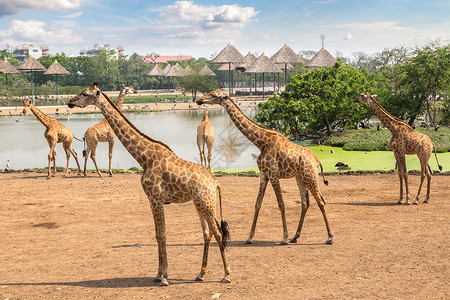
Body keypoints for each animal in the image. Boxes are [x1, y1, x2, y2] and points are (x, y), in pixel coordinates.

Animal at [68, 82, 230, 286]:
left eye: (85, 93)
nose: (70, 102)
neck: (144, 158)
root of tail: (215, 182)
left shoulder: (156, 198)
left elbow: (163, 235)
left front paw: (165, 277)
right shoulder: (151, 200)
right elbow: (157, 235)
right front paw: (158, 275)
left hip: (206, 203)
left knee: (218, 233)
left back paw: (226, 274)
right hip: (200, 203)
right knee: (207, 233)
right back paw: (200, 274)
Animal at [197, 87, 334, 246]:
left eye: (214, 95)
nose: (199, 100)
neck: (260, 141)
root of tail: (316, 159)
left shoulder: (273, 174)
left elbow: (281, 204)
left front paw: (284, 238)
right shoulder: (264, 174)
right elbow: (257, 204)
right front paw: (249, 237)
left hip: (310, 175)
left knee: (321, 201)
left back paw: (329, 237)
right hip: (300, 177)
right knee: (305, 203)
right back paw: (295, 237)